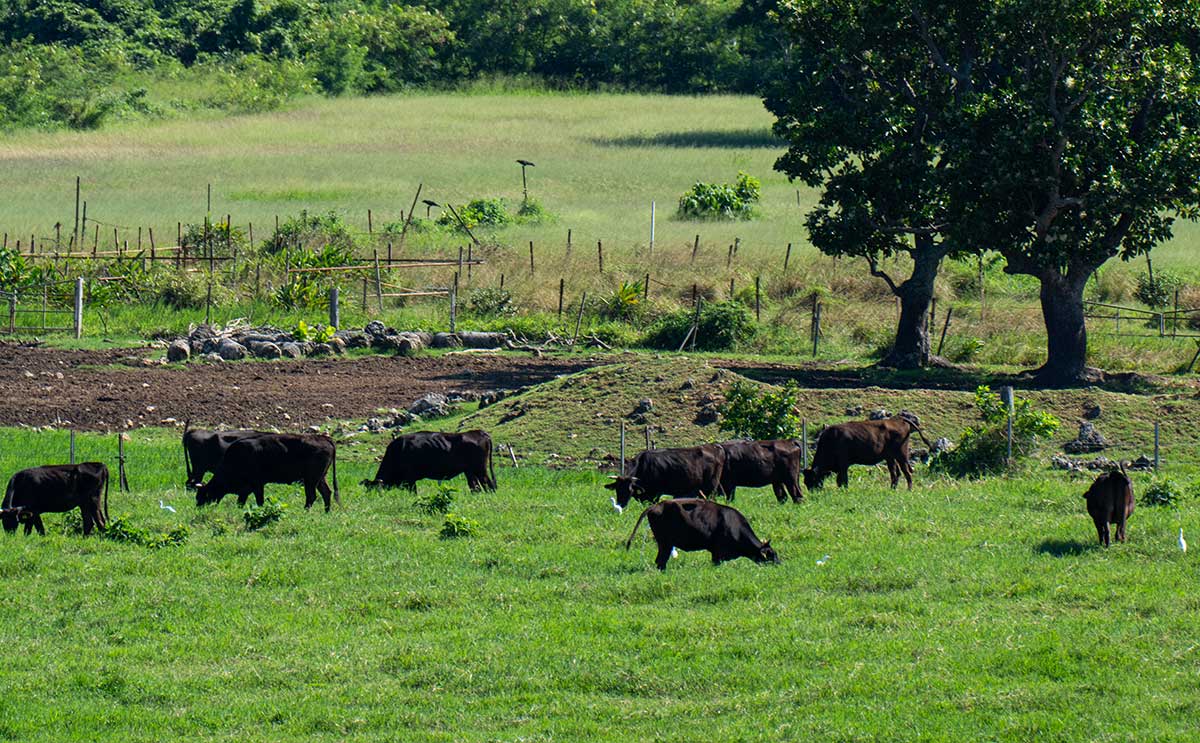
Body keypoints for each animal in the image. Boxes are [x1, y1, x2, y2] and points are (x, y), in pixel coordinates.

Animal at [194, 432, 340, 513]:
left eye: (203, 496)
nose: (199, 509)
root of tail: (324, 438)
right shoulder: (246, 489)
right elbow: (240, 502)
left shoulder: (257, 485)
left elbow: (260, 501)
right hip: (320, 478)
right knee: (326, 493)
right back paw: (326, 512)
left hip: (311, 479)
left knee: (311, 496)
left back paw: (305, 512)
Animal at [357, 429, 494, 494]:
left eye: (377, 490)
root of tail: (479, 432)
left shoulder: (410, 479)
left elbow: (413, 492)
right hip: (469, 471)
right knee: (475, 486)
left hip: (480, 469)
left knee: (488, 484)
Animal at [624, 496, 782, 573]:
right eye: (771, 554)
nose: (780, 564)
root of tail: (655, 506)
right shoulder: (717, 553)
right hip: (665, 543)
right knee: (660, 561)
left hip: (665, 544)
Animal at [801, 415, 931, 492]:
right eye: (805, 482)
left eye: (812, 480)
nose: (813, 493)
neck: (831, 439)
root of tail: (899, 420)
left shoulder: (843, 465)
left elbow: (842, 480)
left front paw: (845, 490)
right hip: (890, 458)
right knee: (895, 473)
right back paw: (892, 489)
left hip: (901, 455)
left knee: (906, 472)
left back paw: (909, 490)